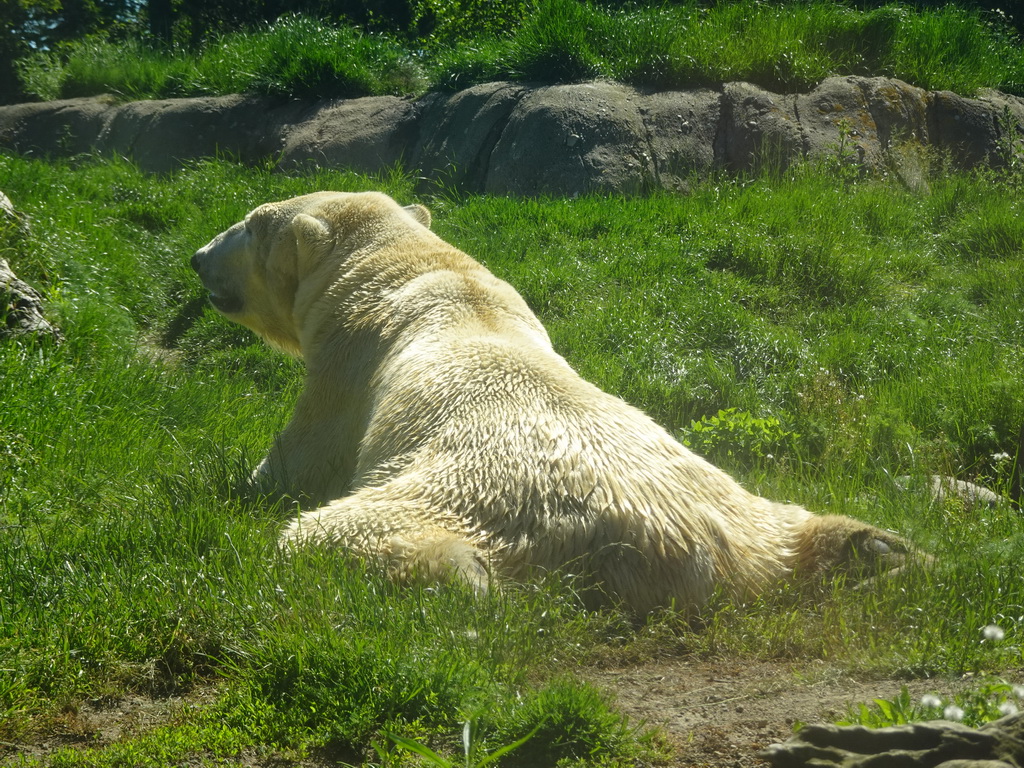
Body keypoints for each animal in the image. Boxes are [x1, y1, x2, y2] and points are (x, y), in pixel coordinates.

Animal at [193, 191, 913, 614]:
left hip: (465, 492)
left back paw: (457, 582)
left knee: (331, 533)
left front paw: (232, 480)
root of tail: (655, 538)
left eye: (250, 224)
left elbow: (301, 461)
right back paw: (883, 549)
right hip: (737, 507)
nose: (199, 256)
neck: (423, 272)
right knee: (797, 530)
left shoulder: (345, 366)